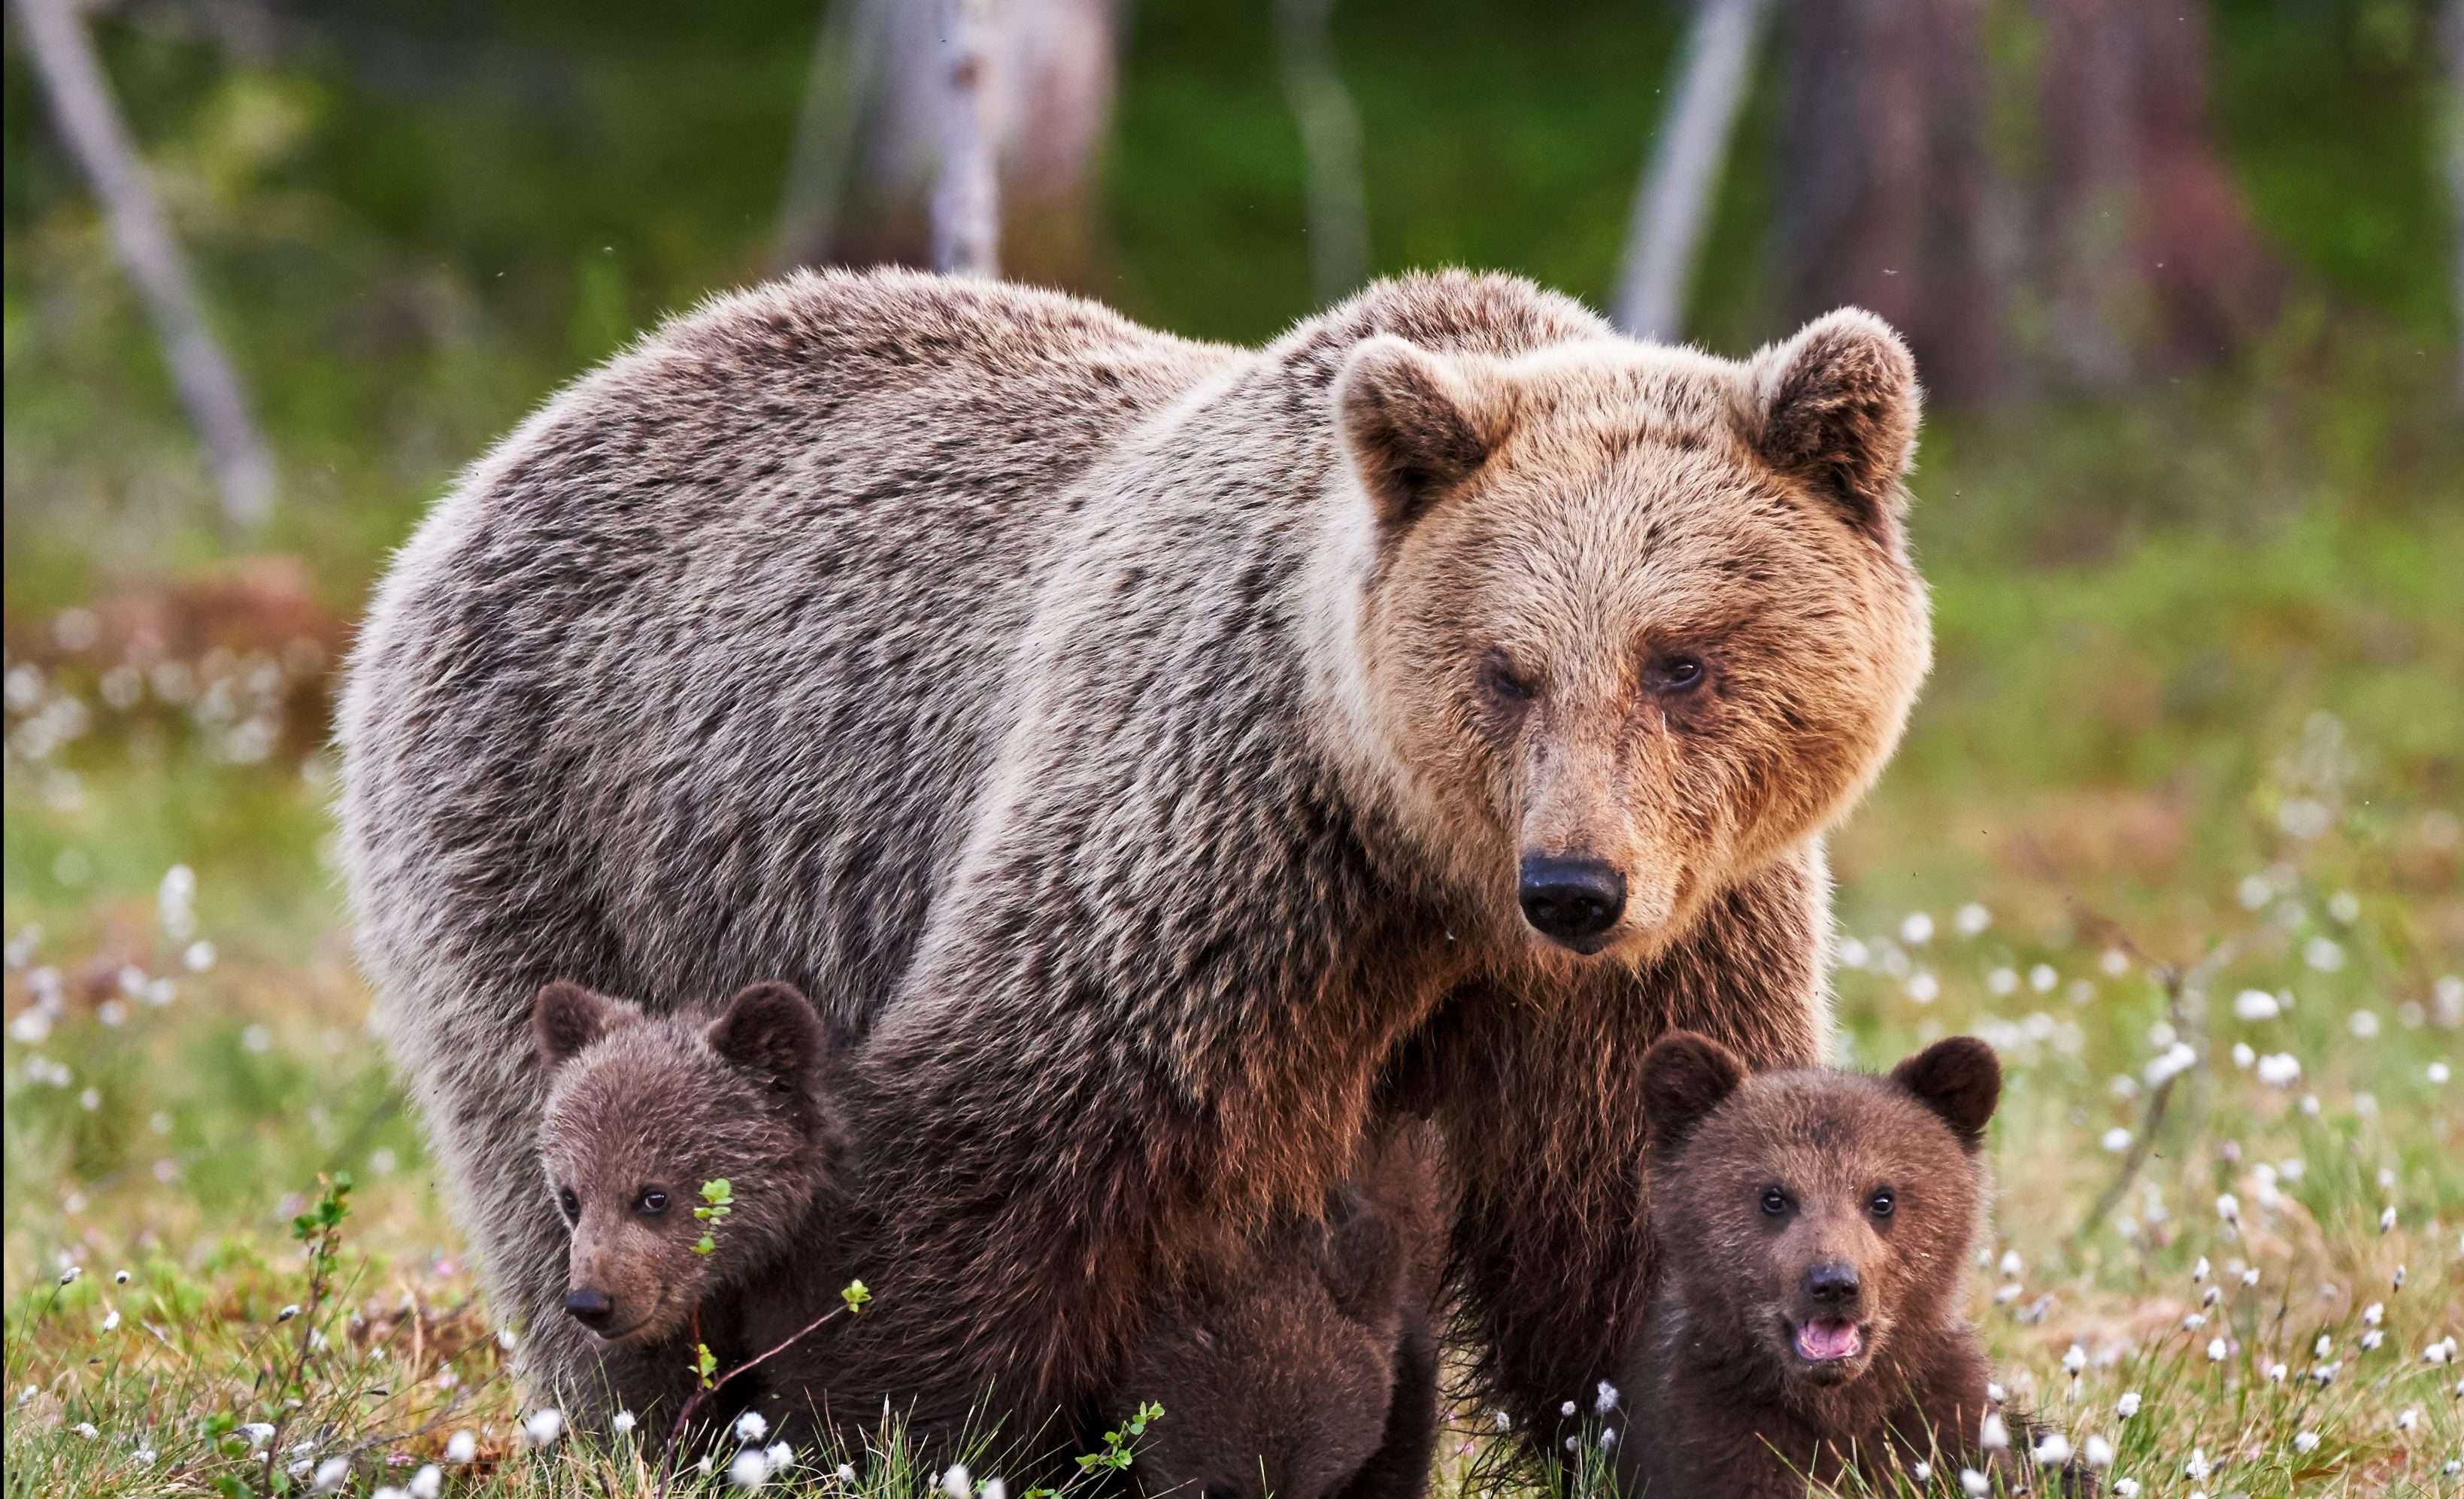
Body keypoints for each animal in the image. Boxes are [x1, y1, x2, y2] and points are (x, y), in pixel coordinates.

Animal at [1610, 1030, 2071, 1497]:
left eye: (1883, 1198)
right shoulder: (1709, 1428)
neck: (1837, 1406)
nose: (1833, 1283)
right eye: (1773, 1196)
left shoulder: (1947, 1422)